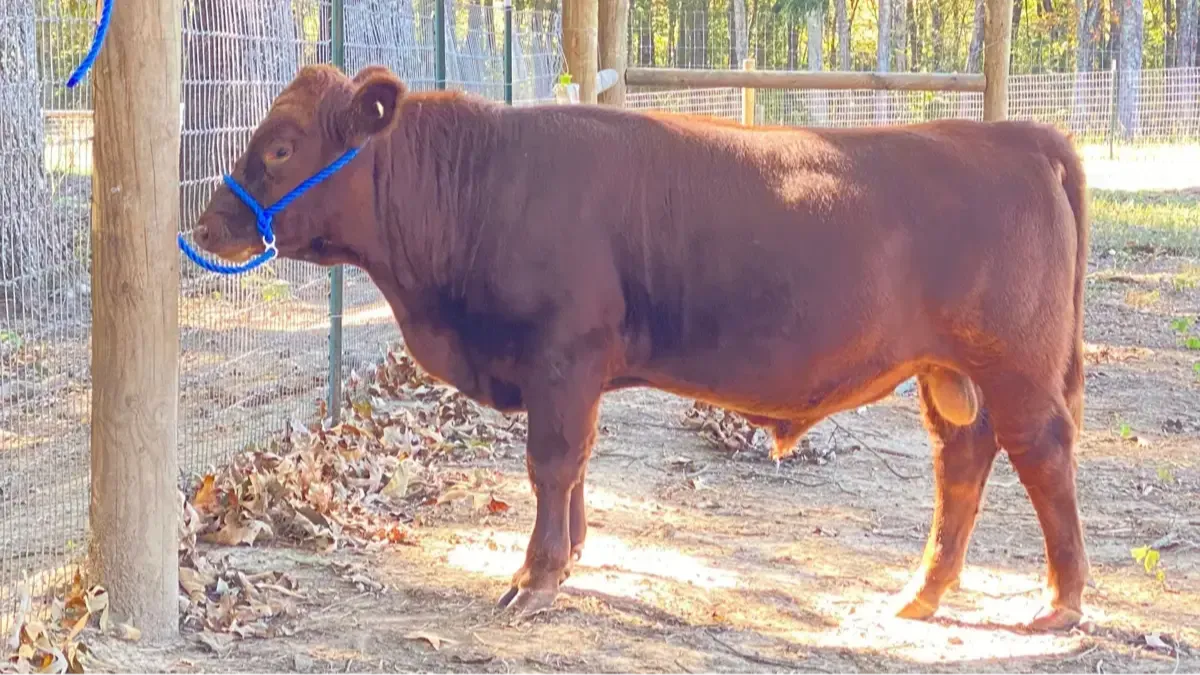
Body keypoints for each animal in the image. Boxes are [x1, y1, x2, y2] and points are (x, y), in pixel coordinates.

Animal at [189, 63, 1091, 632]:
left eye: (280, 147)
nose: (208, 225)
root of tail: (1017, 135)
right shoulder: (575, 372)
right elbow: (577, 463)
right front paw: (569, 557)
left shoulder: (562, 357)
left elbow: (552, 463)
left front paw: (535, 578)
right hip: (950, 373)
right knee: (962, 461)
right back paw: (921, 592)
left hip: (1014, 366)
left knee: (1041, 453)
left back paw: (1060, 600)